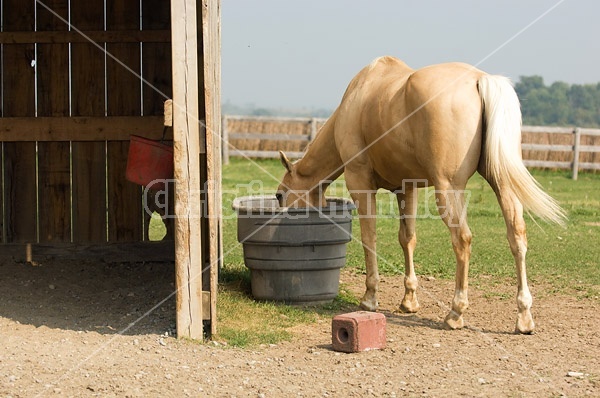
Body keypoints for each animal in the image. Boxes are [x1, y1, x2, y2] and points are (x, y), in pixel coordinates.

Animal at [278, 55, 564, 332]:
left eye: (280, 196)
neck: (359, 95)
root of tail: (480, 79)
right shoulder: (407, 189)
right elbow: (407, 239)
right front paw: (409, 300)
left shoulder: (361, 184)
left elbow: (369, 238)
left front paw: (370, 297)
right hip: (502, 184)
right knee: (517, 236)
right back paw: (524, 317)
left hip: (448, 189)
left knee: (462, 239)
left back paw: (455, 312)